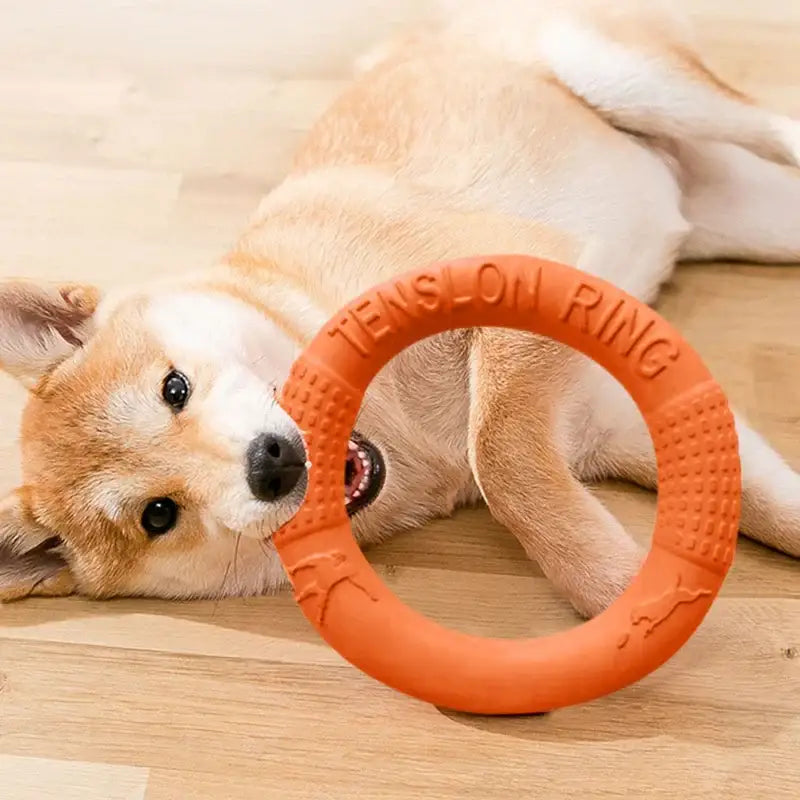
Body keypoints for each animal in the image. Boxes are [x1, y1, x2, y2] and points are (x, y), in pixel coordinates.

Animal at [1, 0, 800, 620]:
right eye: (158, 516)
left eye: (174, 389)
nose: (271, 464)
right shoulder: (619, 421)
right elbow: (774, 509)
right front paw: (619, 584)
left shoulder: (522, 272)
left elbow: (501, 455)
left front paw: (612, 587)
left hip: (623, 75)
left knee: (772, 124)